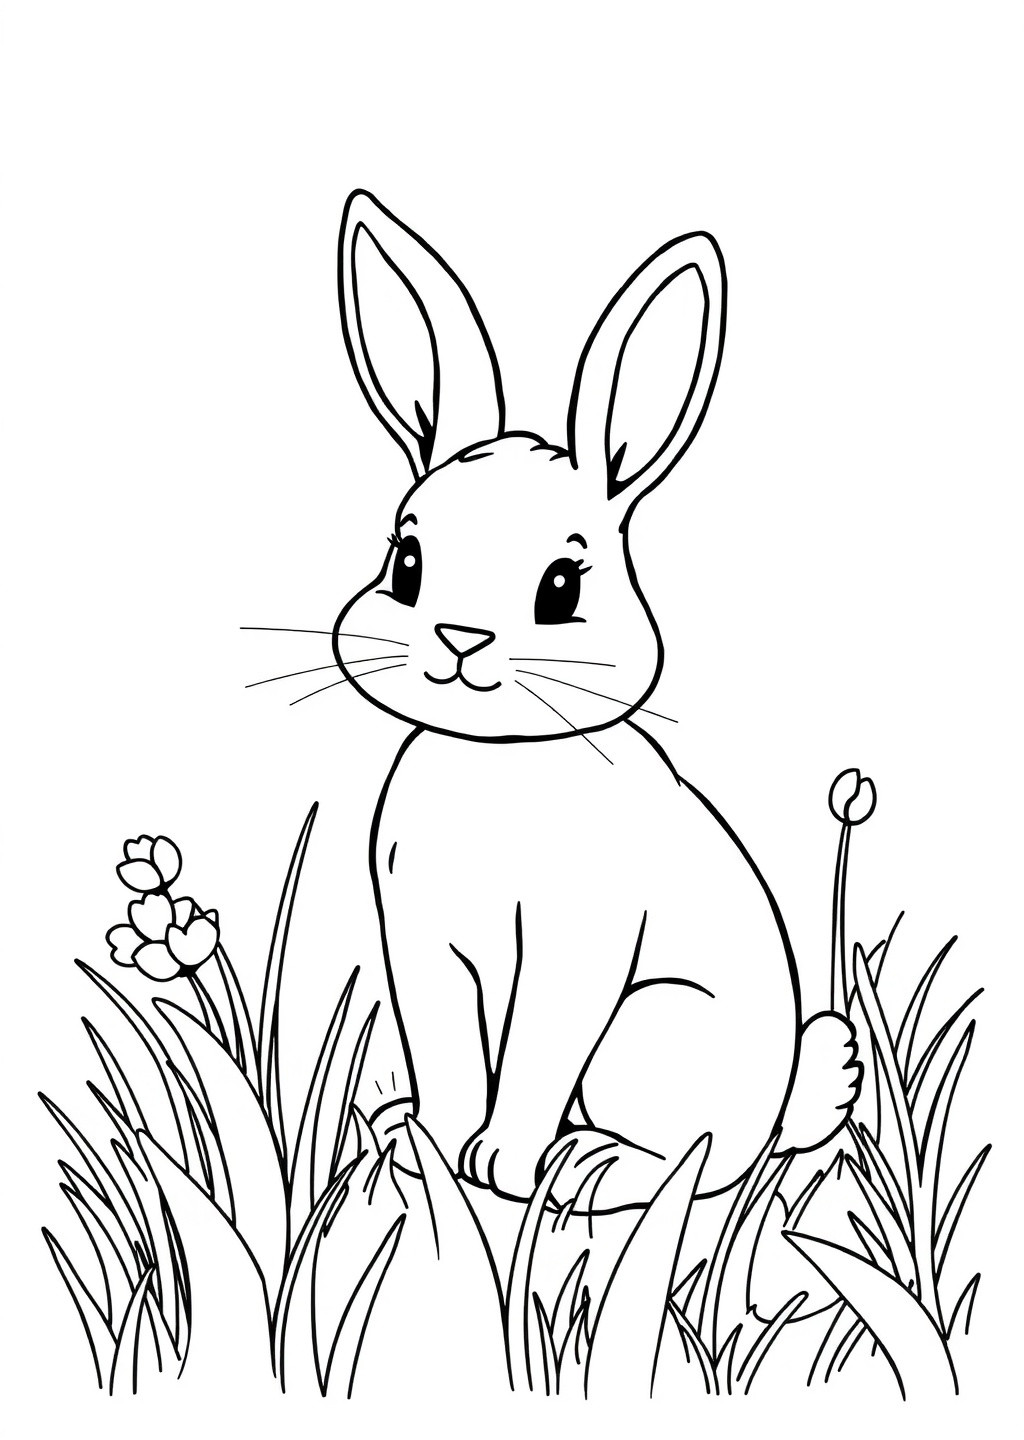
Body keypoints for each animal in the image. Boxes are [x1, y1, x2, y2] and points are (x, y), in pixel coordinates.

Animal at [331, 190, 860, 1211]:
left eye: (562, 586)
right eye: (406, 563)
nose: (459, 640)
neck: (497, 762)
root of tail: (781, 1101)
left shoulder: (576, 947)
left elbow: (538, 1052)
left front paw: (498, 1167)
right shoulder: (423, 945)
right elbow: (446, 1052)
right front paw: (426, 1145)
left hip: (649, 1033)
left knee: (699, 1162)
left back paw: (589, 1169)